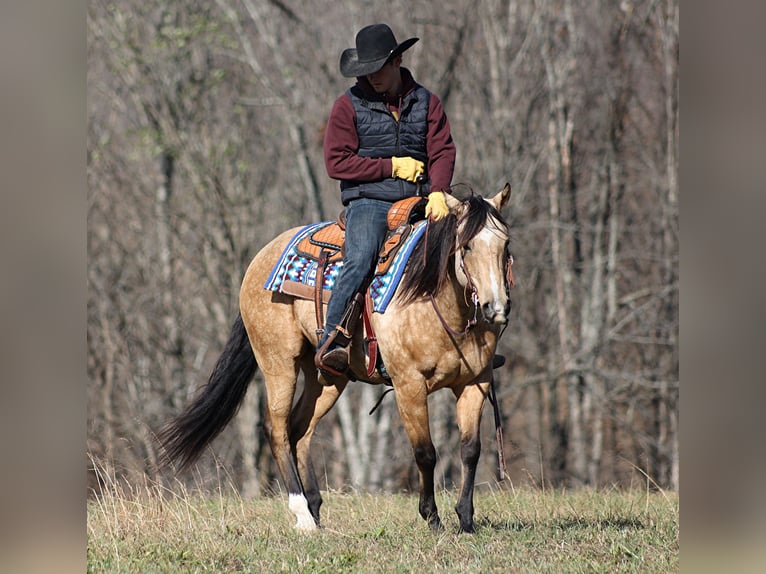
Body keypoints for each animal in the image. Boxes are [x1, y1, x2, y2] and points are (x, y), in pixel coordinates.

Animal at [158, 184, 516, 536]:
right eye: (466, 246)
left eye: (506, 244)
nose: (495, 308)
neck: (433, 299)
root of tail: (259, 259)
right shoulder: (409, 386)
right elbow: (425, 453)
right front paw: (433, 518)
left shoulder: (476, 383)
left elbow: (470, 450)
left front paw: (466, 521)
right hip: (278, 363)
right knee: (277, 430)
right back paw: (302, 514)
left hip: (326, 377)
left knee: (300, 430)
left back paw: (314, 509)